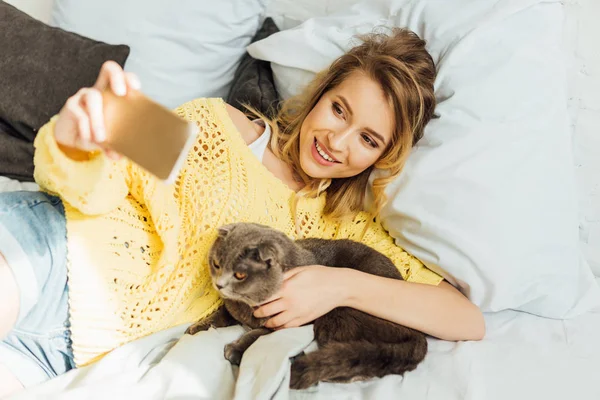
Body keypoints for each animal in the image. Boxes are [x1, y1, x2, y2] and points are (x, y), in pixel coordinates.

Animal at [186, 222, 426, 388]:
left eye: (240, 274)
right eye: (216, 264)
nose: (219, 284)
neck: (248, 304)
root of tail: (417, 334)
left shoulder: (291, 321)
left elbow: (256, 335)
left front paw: (236, 348)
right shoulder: (232, 308)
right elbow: (220, 315)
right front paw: (197, 328)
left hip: (337, 311)